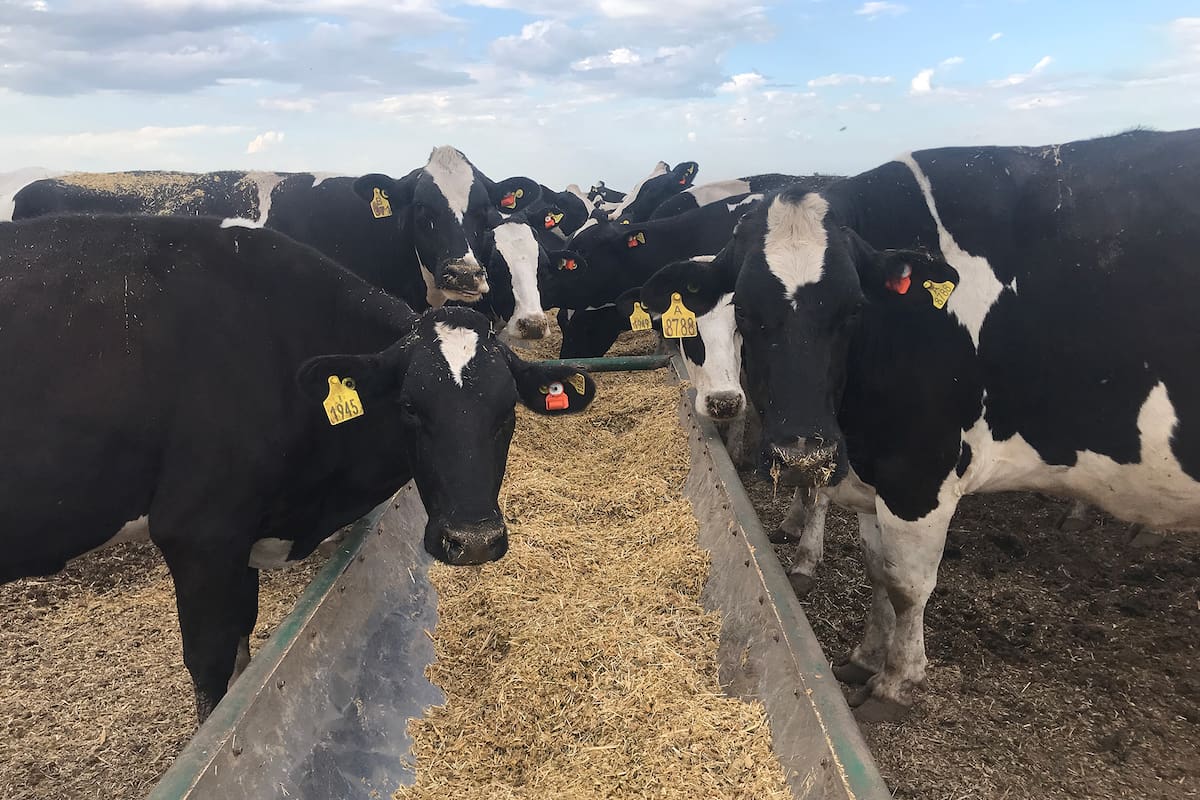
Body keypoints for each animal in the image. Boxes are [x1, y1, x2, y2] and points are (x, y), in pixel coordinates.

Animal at [635, 127, 1200, 721]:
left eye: (854, 307)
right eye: (744, 309)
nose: (802, 453)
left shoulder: (919, 475)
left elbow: (907, 585)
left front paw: (894, 685)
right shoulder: (872, 475)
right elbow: (877, 568)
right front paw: (864, 658)